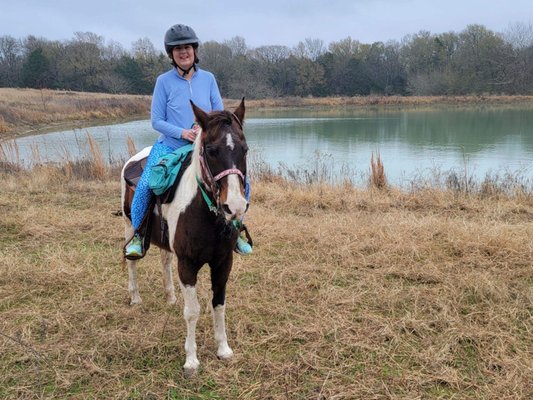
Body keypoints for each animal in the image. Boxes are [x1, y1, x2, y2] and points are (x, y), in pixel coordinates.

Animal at [119, 98, 248, 376]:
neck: (205, 214)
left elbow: (219, 304)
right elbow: (192, 312)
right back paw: (135, 297)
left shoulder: (223, 263)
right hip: (129, 226)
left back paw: (170, 296)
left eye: (244, 149)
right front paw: (191, 360)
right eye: (211, 150)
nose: (234, 206)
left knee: (165, 262)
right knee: (131, 261)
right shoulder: (187, 265)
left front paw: (223, 349)